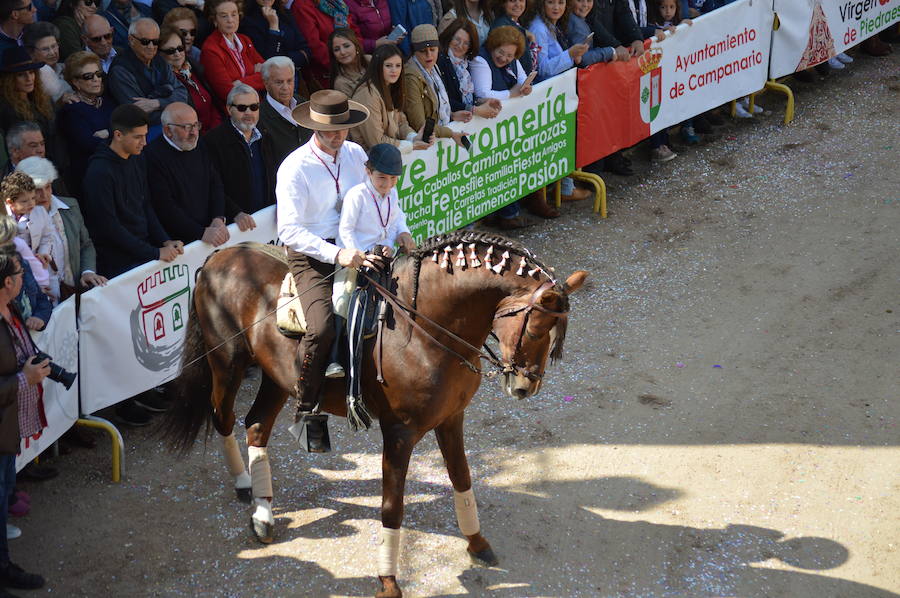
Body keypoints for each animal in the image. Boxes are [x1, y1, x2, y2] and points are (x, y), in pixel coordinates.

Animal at [162, 231, 588, 598]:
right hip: (227, 364)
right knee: (223, 418)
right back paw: (243, 485)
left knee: (256, 426)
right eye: (535, 330)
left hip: (277, 377)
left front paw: (478, 543)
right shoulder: (399, 433)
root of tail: (219, 256)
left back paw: (263, 515)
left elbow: (463, 480)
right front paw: (388, 581)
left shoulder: (451, 419)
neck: (424, 330)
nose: (525, 387)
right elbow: (392, 508)